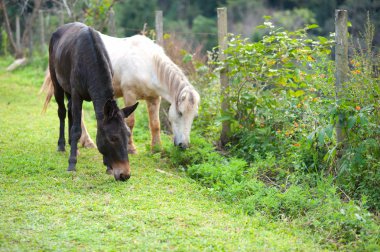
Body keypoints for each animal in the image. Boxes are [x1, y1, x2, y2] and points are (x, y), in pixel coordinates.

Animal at [42, 34, 200, 154]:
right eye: (180, 113)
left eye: (194, 116)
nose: (184, 145)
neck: (147, 64)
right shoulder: (129, 94)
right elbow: (130, 122)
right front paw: (131, 149)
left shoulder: (154, 98)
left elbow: (155, 124)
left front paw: (157, 149)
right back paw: (86, 141)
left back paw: (86, 142)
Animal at [46, 21, 137, 179]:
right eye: (113, 138)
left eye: (128, 135)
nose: (125, 175)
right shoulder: (77, 94)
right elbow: (77, 129)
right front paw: (72, 164)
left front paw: (107, 165)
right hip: (57, 82)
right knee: (62, 112)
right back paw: (62, 145)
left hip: (68, 90)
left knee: (70, 111)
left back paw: (72, 145)